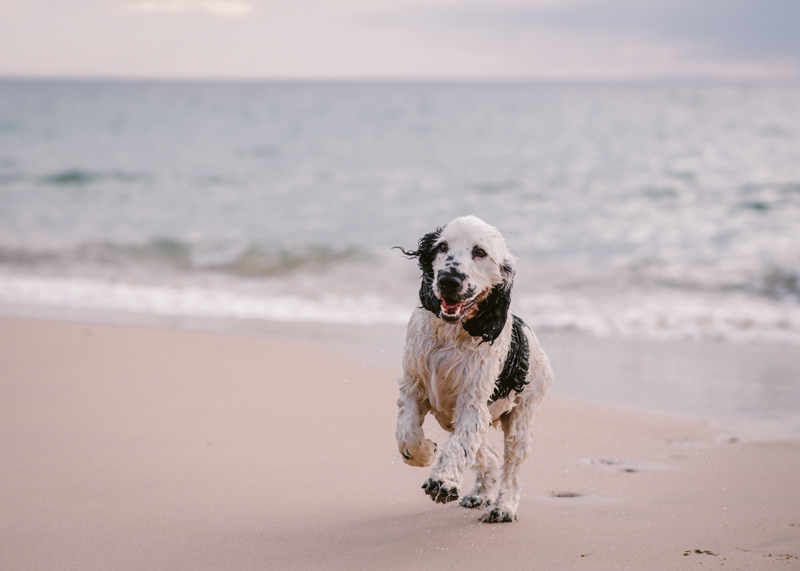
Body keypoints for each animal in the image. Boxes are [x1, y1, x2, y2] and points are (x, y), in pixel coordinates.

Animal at [392, 214, 552, 524]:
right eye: (442, 247)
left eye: (480, 252)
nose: (448, 280)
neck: (451, 334)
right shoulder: (413, 387)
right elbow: (406, 430)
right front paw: (423, 453)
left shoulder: (472, 403)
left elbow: (459, 445)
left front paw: (442, 481)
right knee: (487, 455)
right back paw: (480, 494)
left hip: (522, 417)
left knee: (511, 468)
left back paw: (503, 507)